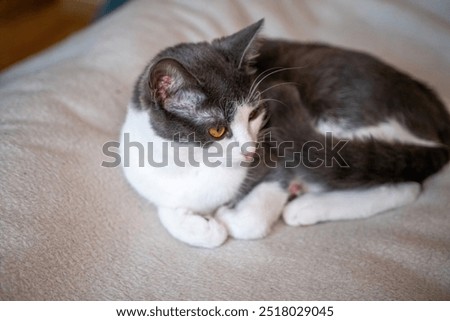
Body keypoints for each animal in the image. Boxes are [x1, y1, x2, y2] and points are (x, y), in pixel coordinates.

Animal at [120, 18, 450, 248]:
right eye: (217, 129)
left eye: (254, 114)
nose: (251, 150)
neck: (191, 165)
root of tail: (436, 109)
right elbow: (166, 208)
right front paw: (201, 226)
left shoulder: (278, 158)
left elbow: (250, 220)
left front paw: (226, 217)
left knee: (403, 185)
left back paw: (304, 207)